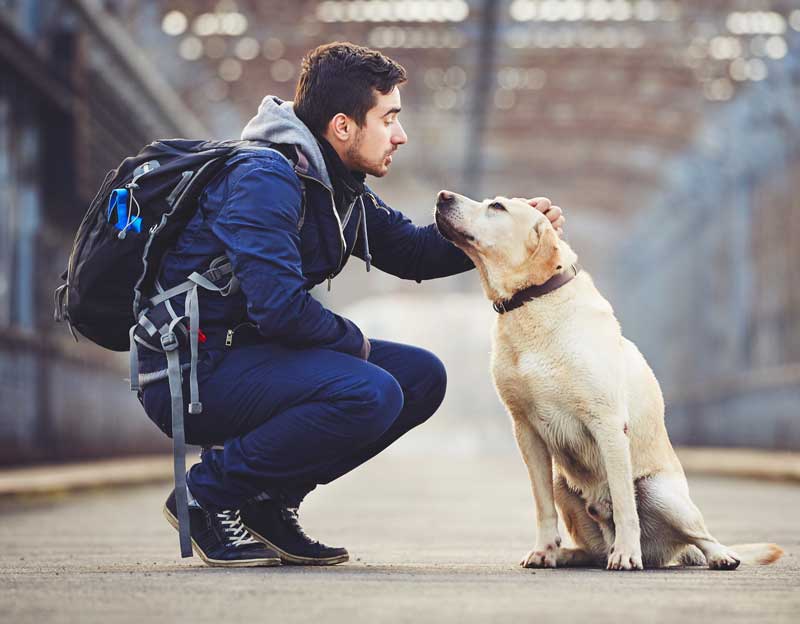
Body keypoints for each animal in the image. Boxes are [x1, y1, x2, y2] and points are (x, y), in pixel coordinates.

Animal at [434, 190, 784, 572]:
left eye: (496, 207)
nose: (443, 196)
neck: (533, 302)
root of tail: (665, 553)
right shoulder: (525, 431)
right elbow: (542, 506)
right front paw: (543, 550)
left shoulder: (608, 424)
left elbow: (623, 501)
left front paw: (627, 554)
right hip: (562, 482)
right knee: (593, 548)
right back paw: (569, 553)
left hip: (662, 493)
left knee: (699, 536)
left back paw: (715, 555)